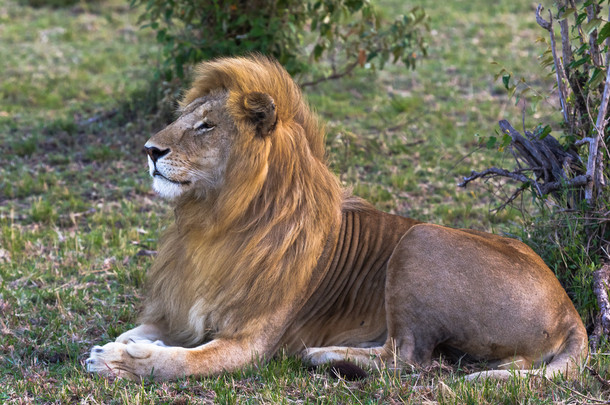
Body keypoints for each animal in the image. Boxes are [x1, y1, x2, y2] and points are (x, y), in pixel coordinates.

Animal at [85, 55, 584, 380]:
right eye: (184, 118)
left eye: (206, 126)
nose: (150, 150)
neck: (215, 221)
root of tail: (569, 309)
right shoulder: (185, 312)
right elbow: (138, 329)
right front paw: (125, 343)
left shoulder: (249, 342)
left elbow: (180, 361)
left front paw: (118, 361)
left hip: (420, 240)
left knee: (408, 357)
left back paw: (322, 356)